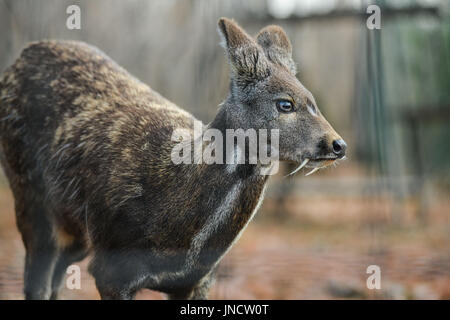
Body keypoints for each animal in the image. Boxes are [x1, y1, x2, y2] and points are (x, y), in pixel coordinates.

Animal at [0, 17, 346, 298]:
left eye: (313, 101)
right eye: (285, 104)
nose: (337, 144)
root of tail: (18, 59)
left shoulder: (198, 281)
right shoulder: (111, 271)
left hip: (74, 230)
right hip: (28, 193)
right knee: (37, 280)